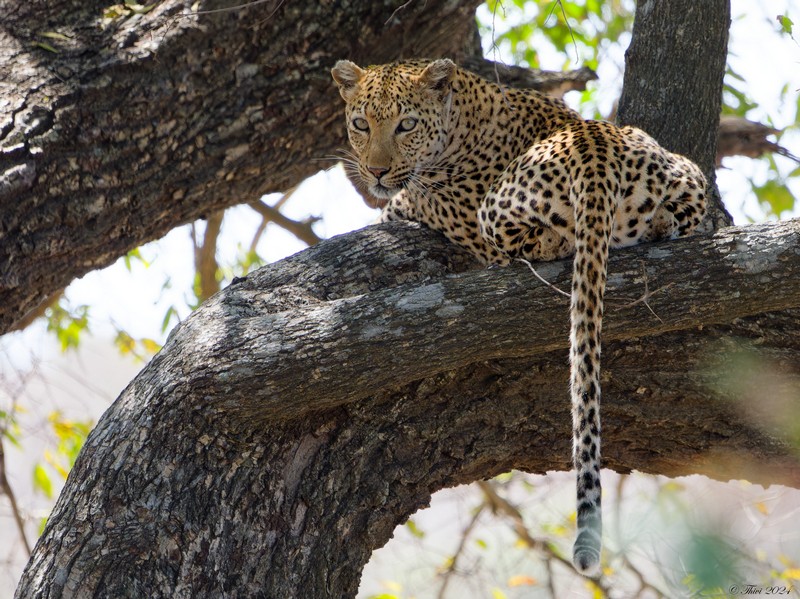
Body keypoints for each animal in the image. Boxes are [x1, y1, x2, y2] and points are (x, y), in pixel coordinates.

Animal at [332, 59, 708, 576]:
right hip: (687, 172)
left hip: (495, 213)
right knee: (679, 217)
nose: (376, 170)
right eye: (360, 124)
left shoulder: (429, 205)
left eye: (405, 125)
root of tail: (596, 152)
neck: (461, 113)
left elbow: (394, 207)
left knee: (547, 243)